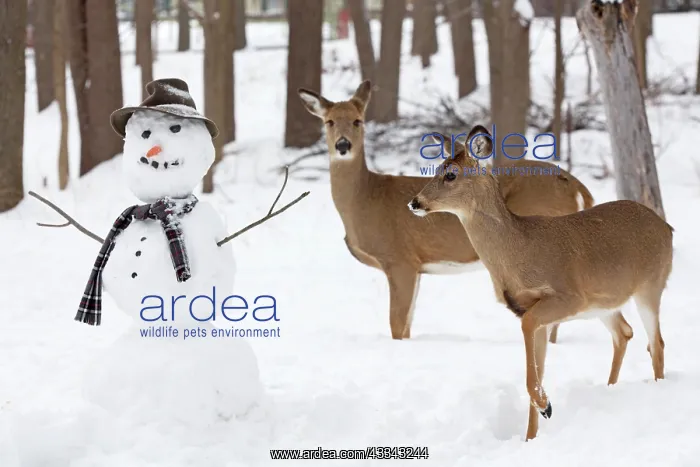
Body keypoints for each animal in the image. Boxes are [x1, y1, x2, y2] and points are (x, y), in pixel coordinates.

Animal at [297, 81, 594, 342]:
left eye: (358, 120)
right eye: (329, 121)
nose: (343, 145)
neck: (365, 199)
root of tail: (578, 187)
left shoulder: (399, 258)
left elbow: (397, 325)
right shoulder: (416, 267)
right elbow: (406, 325)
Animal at [408, 125, 674, 440]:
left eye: (450, 174)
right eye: (436, 168)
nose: (414, 202)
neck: (518, 252)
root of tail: (667, 227)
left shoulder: (567, 296)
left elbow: (529, 339)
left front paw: (545, 404)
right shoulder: (539, 313)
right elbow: (539, 365)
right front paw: (531, 435)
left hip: (650, 286)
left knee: (656, 342)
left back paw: (656, 390)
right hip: (605, 303)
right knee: (625, 333)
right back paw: (609, 390)